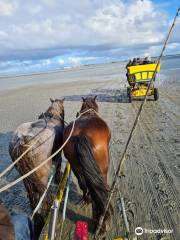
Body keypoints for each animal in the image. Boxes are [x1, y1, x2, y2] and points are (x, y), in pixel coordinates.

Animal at [63, 95, 112, 236]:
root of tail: (81, 134)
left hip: (75, 166)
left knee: (83, 184)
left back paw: (87, 199)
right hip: (102, 169)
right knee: (99, 192)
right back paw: (101, 223)